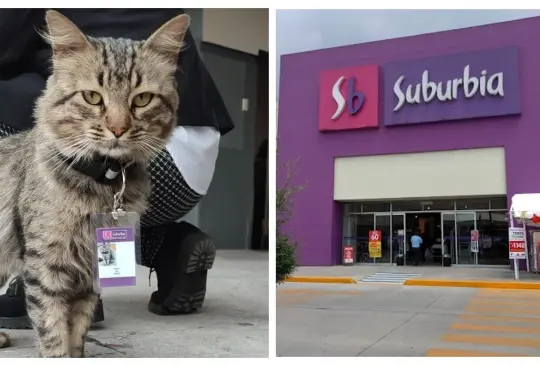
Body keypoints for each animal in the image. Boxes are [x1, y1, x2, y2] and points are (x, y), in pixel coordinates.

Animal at [0, 10, 190, 356]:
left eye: (142, 99)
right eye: (92, 97)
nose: (118, 128)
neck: (102, 185)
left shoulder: (89, 274)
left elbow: (78, 330)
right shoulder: (46, 265)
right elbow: (53, 333)